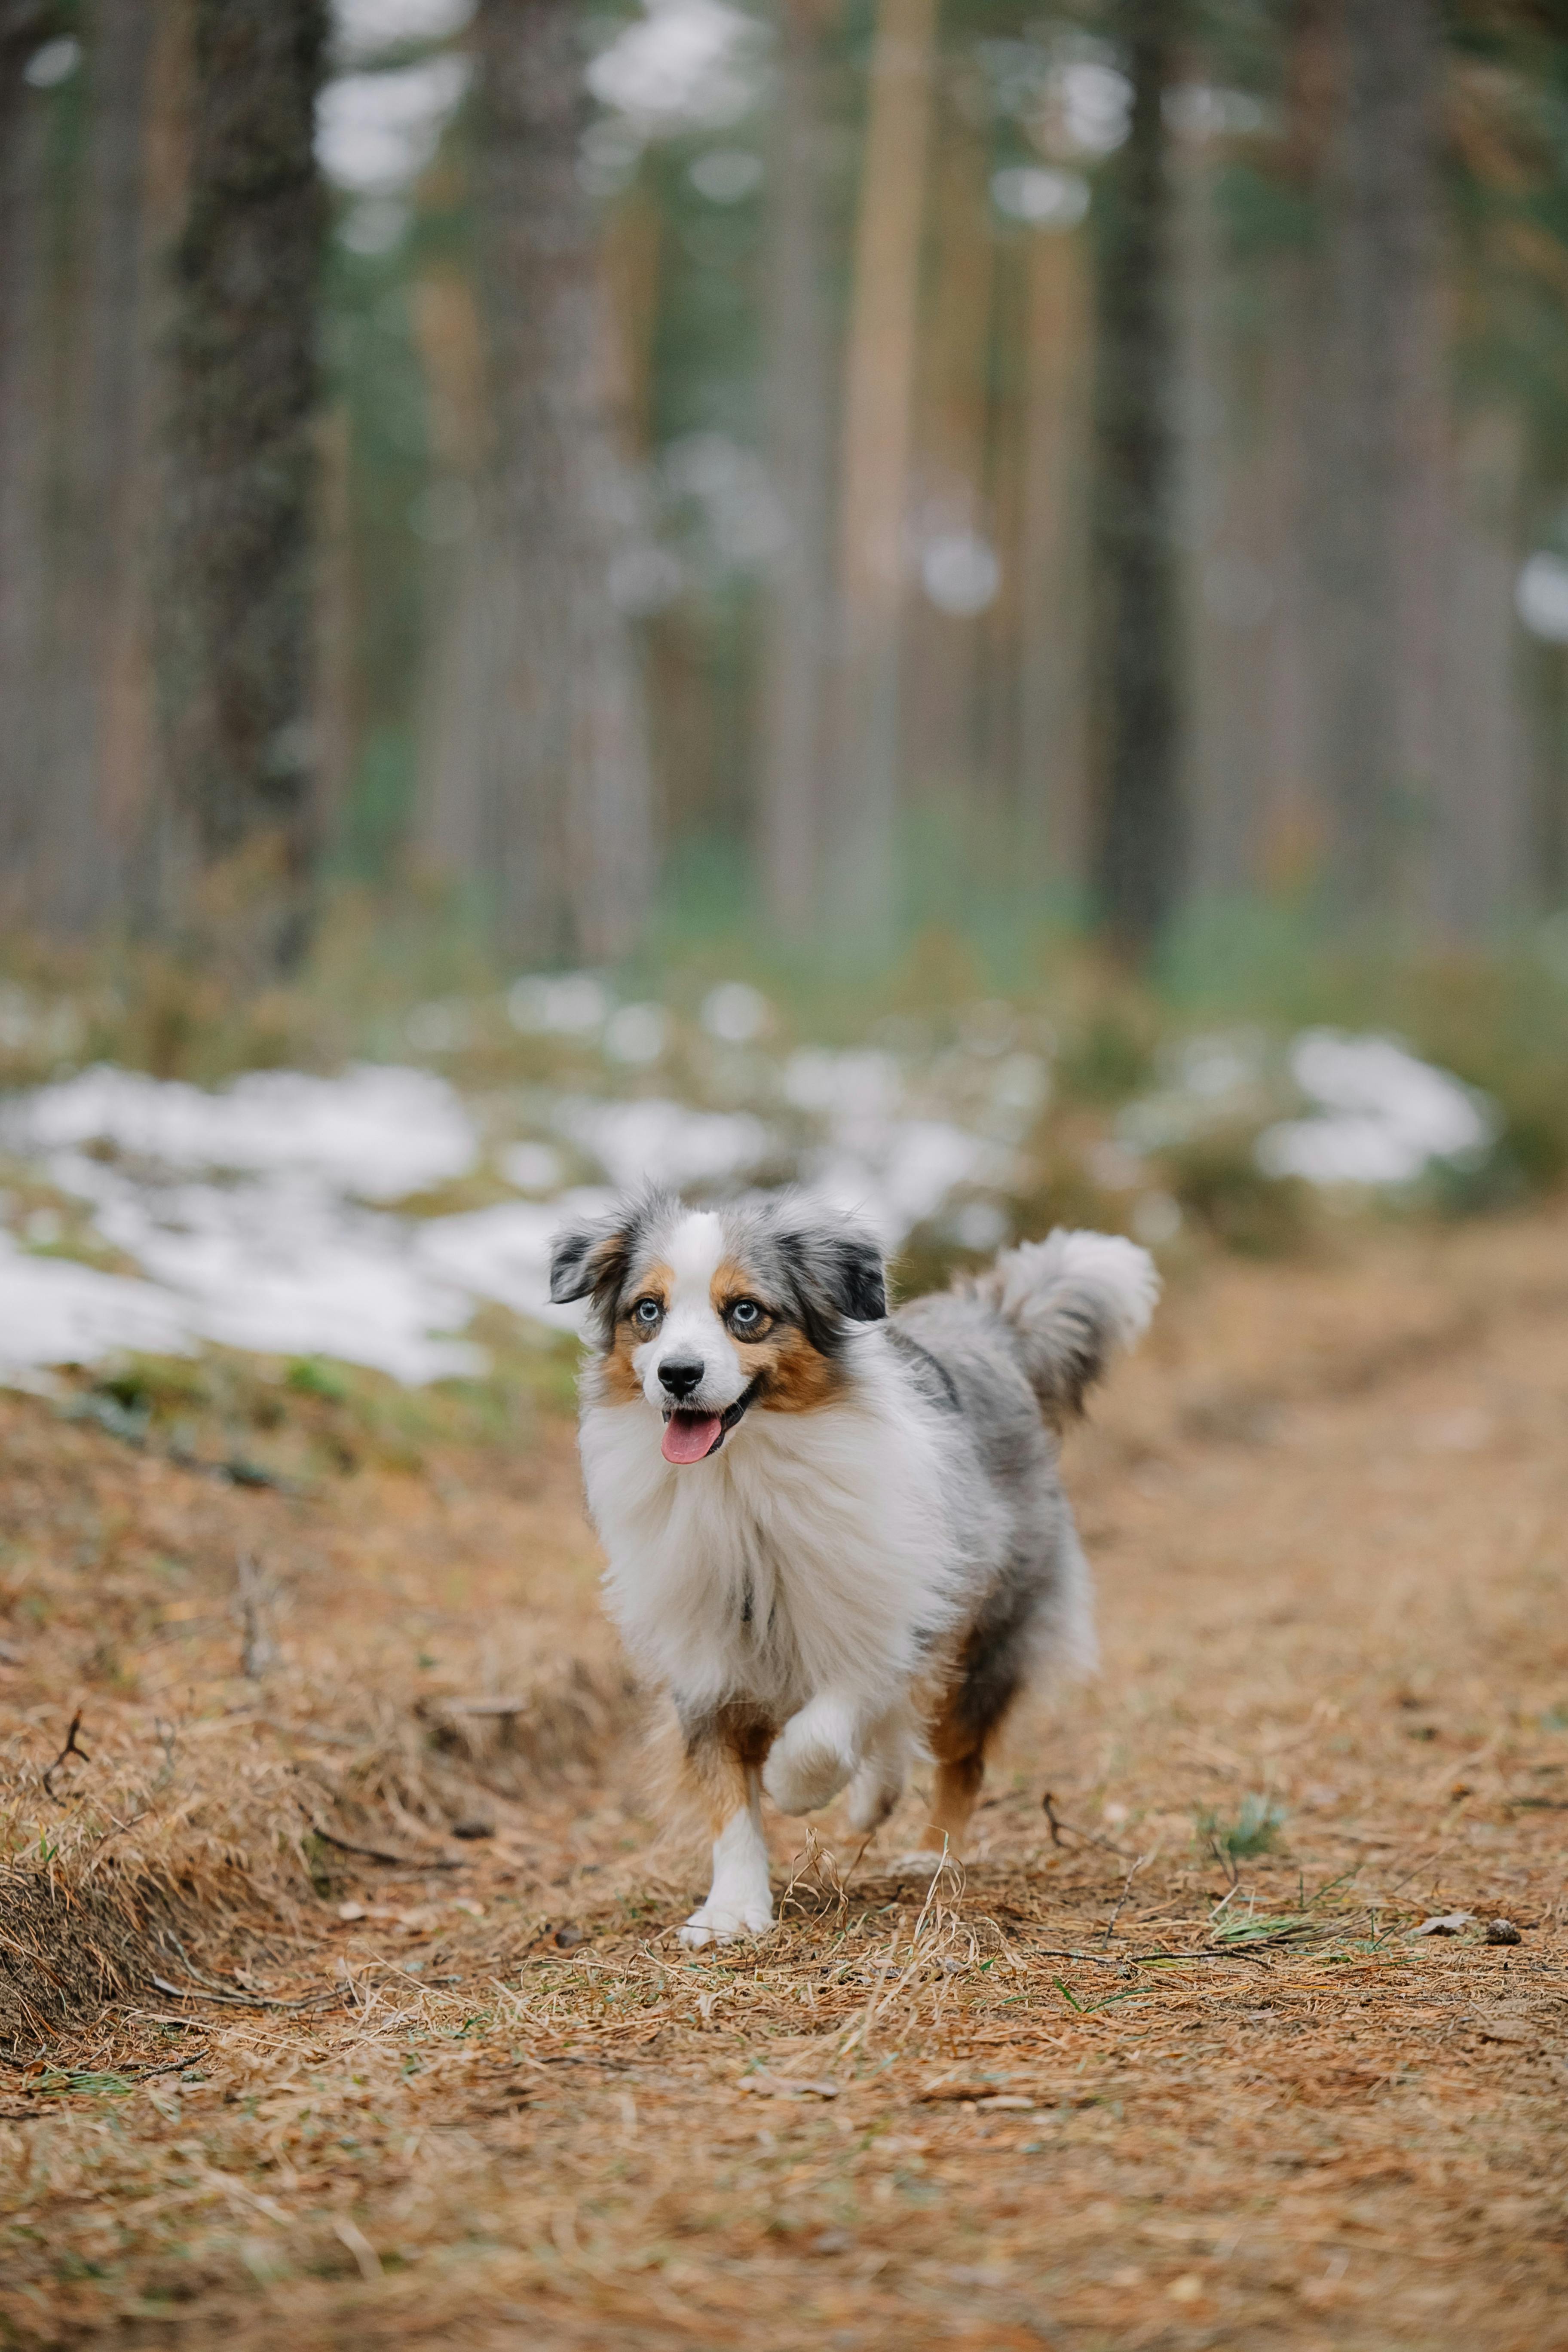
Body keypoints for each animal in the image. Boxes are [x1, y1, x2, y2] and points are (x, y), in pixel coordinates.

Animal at [550, 1194, 1152, 1947]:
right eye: (648, 1310)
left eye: (745, 1311)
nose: (677, 1375)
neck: (740, 1479)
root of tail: (992, 1328)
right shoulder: (704, 1651)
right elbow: (728, 1796)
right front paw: (733, 1910)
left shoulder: (890, 1606)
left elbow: (827, 1727)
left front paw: (793, 1786)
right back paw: (876, 1801)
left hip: (991, 1629)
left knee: (959, 1755)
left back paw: (930, 1854)